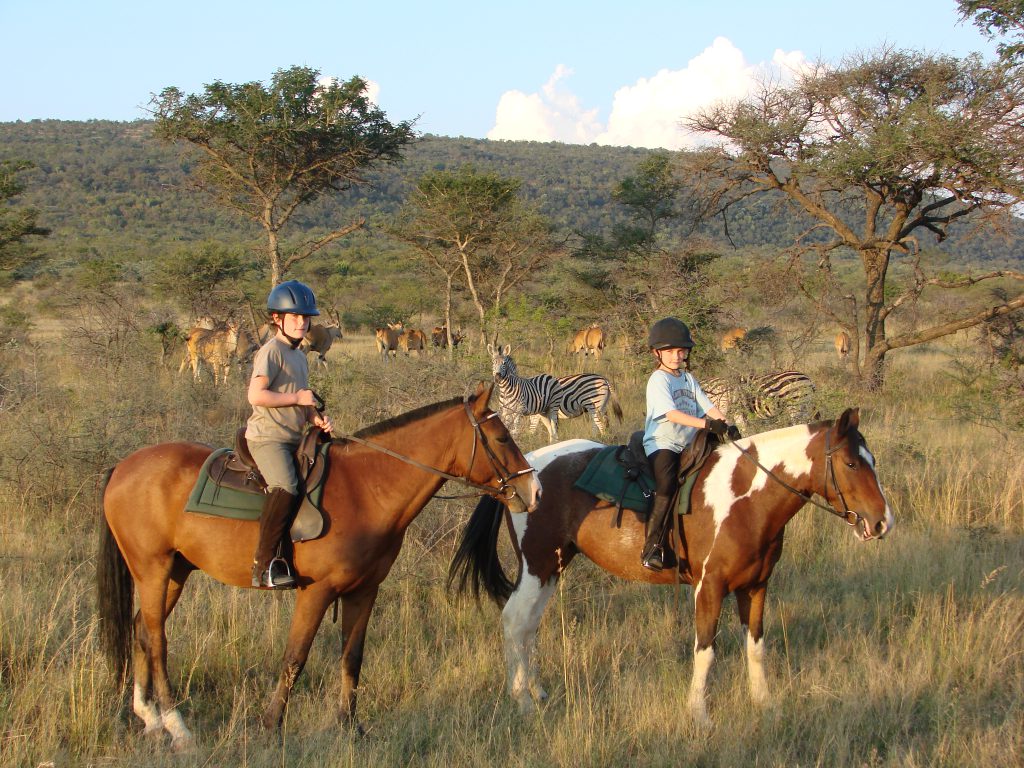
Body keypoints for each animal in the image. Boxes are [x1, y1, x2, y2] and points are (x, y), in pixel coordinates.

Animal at [97, 382, 541, 750]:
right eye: (502, 437)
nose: (533, 490)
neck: (367, 489)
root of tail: (122, 467)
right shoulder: (316, 593)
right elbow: (295, 658)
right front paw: (271, 726)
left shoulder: (363, 591)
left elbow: (352, 657)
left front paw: (350, 726)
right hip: (152, 570)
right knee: (157, 640)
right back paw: (177, 726)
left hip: (174, 572)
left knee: (142, 630)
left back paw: (151, 719)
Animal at [449, 409, 893, 724]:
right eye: (852, 464)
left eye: (871, 459)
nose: (882, 522)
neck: (746, 497)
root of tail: (519, 475)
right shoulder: (710, 588)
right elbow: (706, 651)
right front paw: (700, 715)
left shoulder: (756, 586)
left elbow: (756, 648)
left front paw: (765, 706)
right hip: (537, 566)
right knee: (514, 622)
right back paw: (522, 700)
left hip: (551, 569)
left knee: (529, 626)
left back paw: (537, 692)